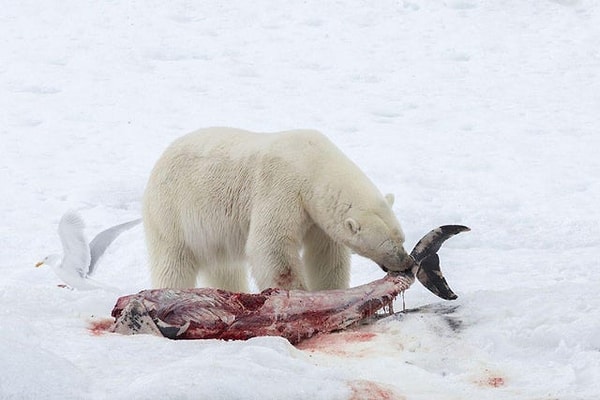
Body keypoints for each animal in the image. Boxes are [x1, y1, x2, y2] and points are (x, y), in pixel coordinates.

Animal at [142, 127, 412, 290]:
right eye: (386, 245)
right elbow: (272, 246)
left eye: (401, 238)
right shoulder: (281, 188)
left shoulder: (315, 216)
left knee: (225, 269)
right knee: (173, 263)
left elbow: (326, 255)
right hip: (172, 213)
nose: (407, 262)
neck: (311, 163)